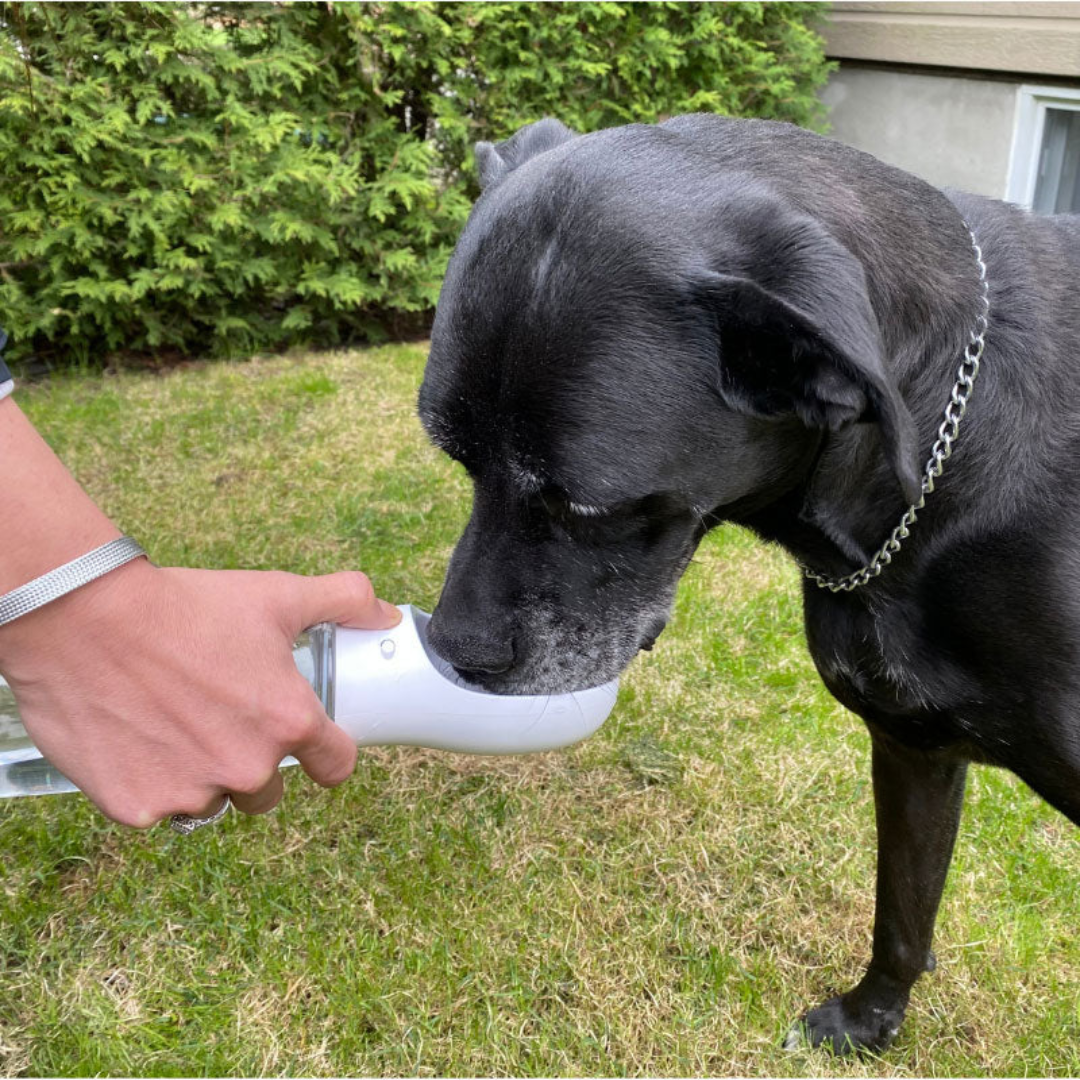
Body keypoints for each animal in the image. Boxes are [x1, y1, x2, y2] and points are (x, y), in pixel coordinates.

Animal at [414, 116, 1080, 1054]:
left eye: (586, 504)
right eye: (456, 459)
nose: (452, 652)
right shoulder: (913, 749)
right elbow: (901, 914)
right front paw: (870, 1023)